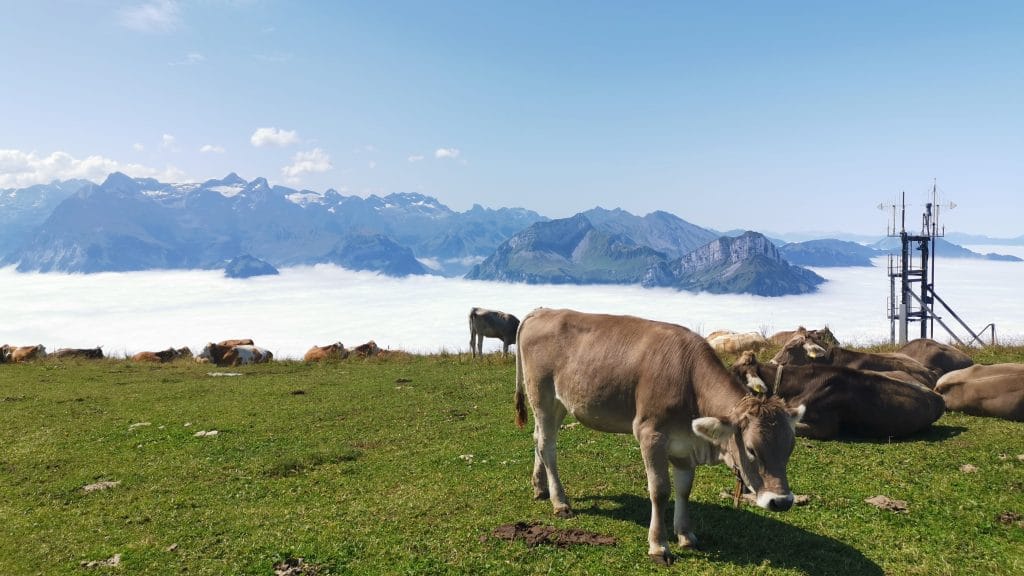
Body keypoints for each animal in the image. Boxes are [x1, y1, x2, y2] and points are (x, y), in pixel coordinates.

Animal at [516, 307, 802, 561]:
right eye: (752, 449)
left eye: (790, 448)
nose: (782, 501)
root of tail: (542, 311)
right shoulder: (650, 434)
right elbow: (660, 490)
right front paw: (659, 545)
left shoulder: (686, 443)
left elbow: (684, 489)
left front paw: (686, 535)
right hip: (541, 394)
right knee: (547, 445)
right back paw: (559, 501)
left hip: (561, 403)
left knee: (538, 438)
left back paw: (540, 487)